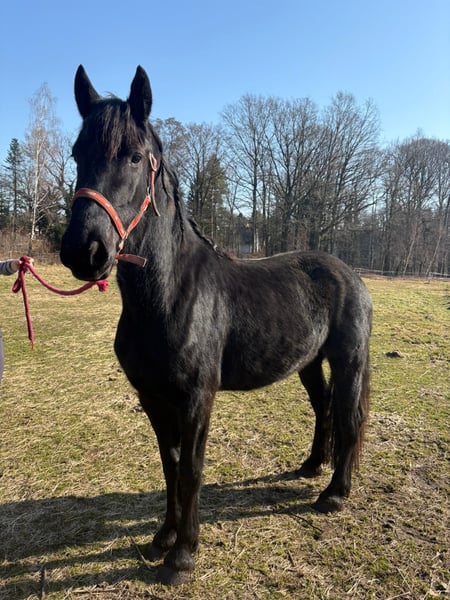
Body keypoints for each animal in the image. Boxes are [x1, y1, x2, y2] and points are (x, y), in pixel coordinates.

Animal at [60, 65, 372, 585]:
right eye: (77, 153)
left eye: (134, 156)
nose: (84, 250)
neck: (169, 296)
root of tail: (351, 273)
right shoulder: (153, 397)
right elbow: (168, 466)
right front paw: (162, 538)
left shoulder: (196, 398)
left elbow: (191, 468)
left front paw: (183, 555)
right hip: (309, 364)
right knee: (324, 407)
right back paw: (310, 467)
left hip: (349, 361)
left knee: (349, 417)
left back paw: (333, 493)